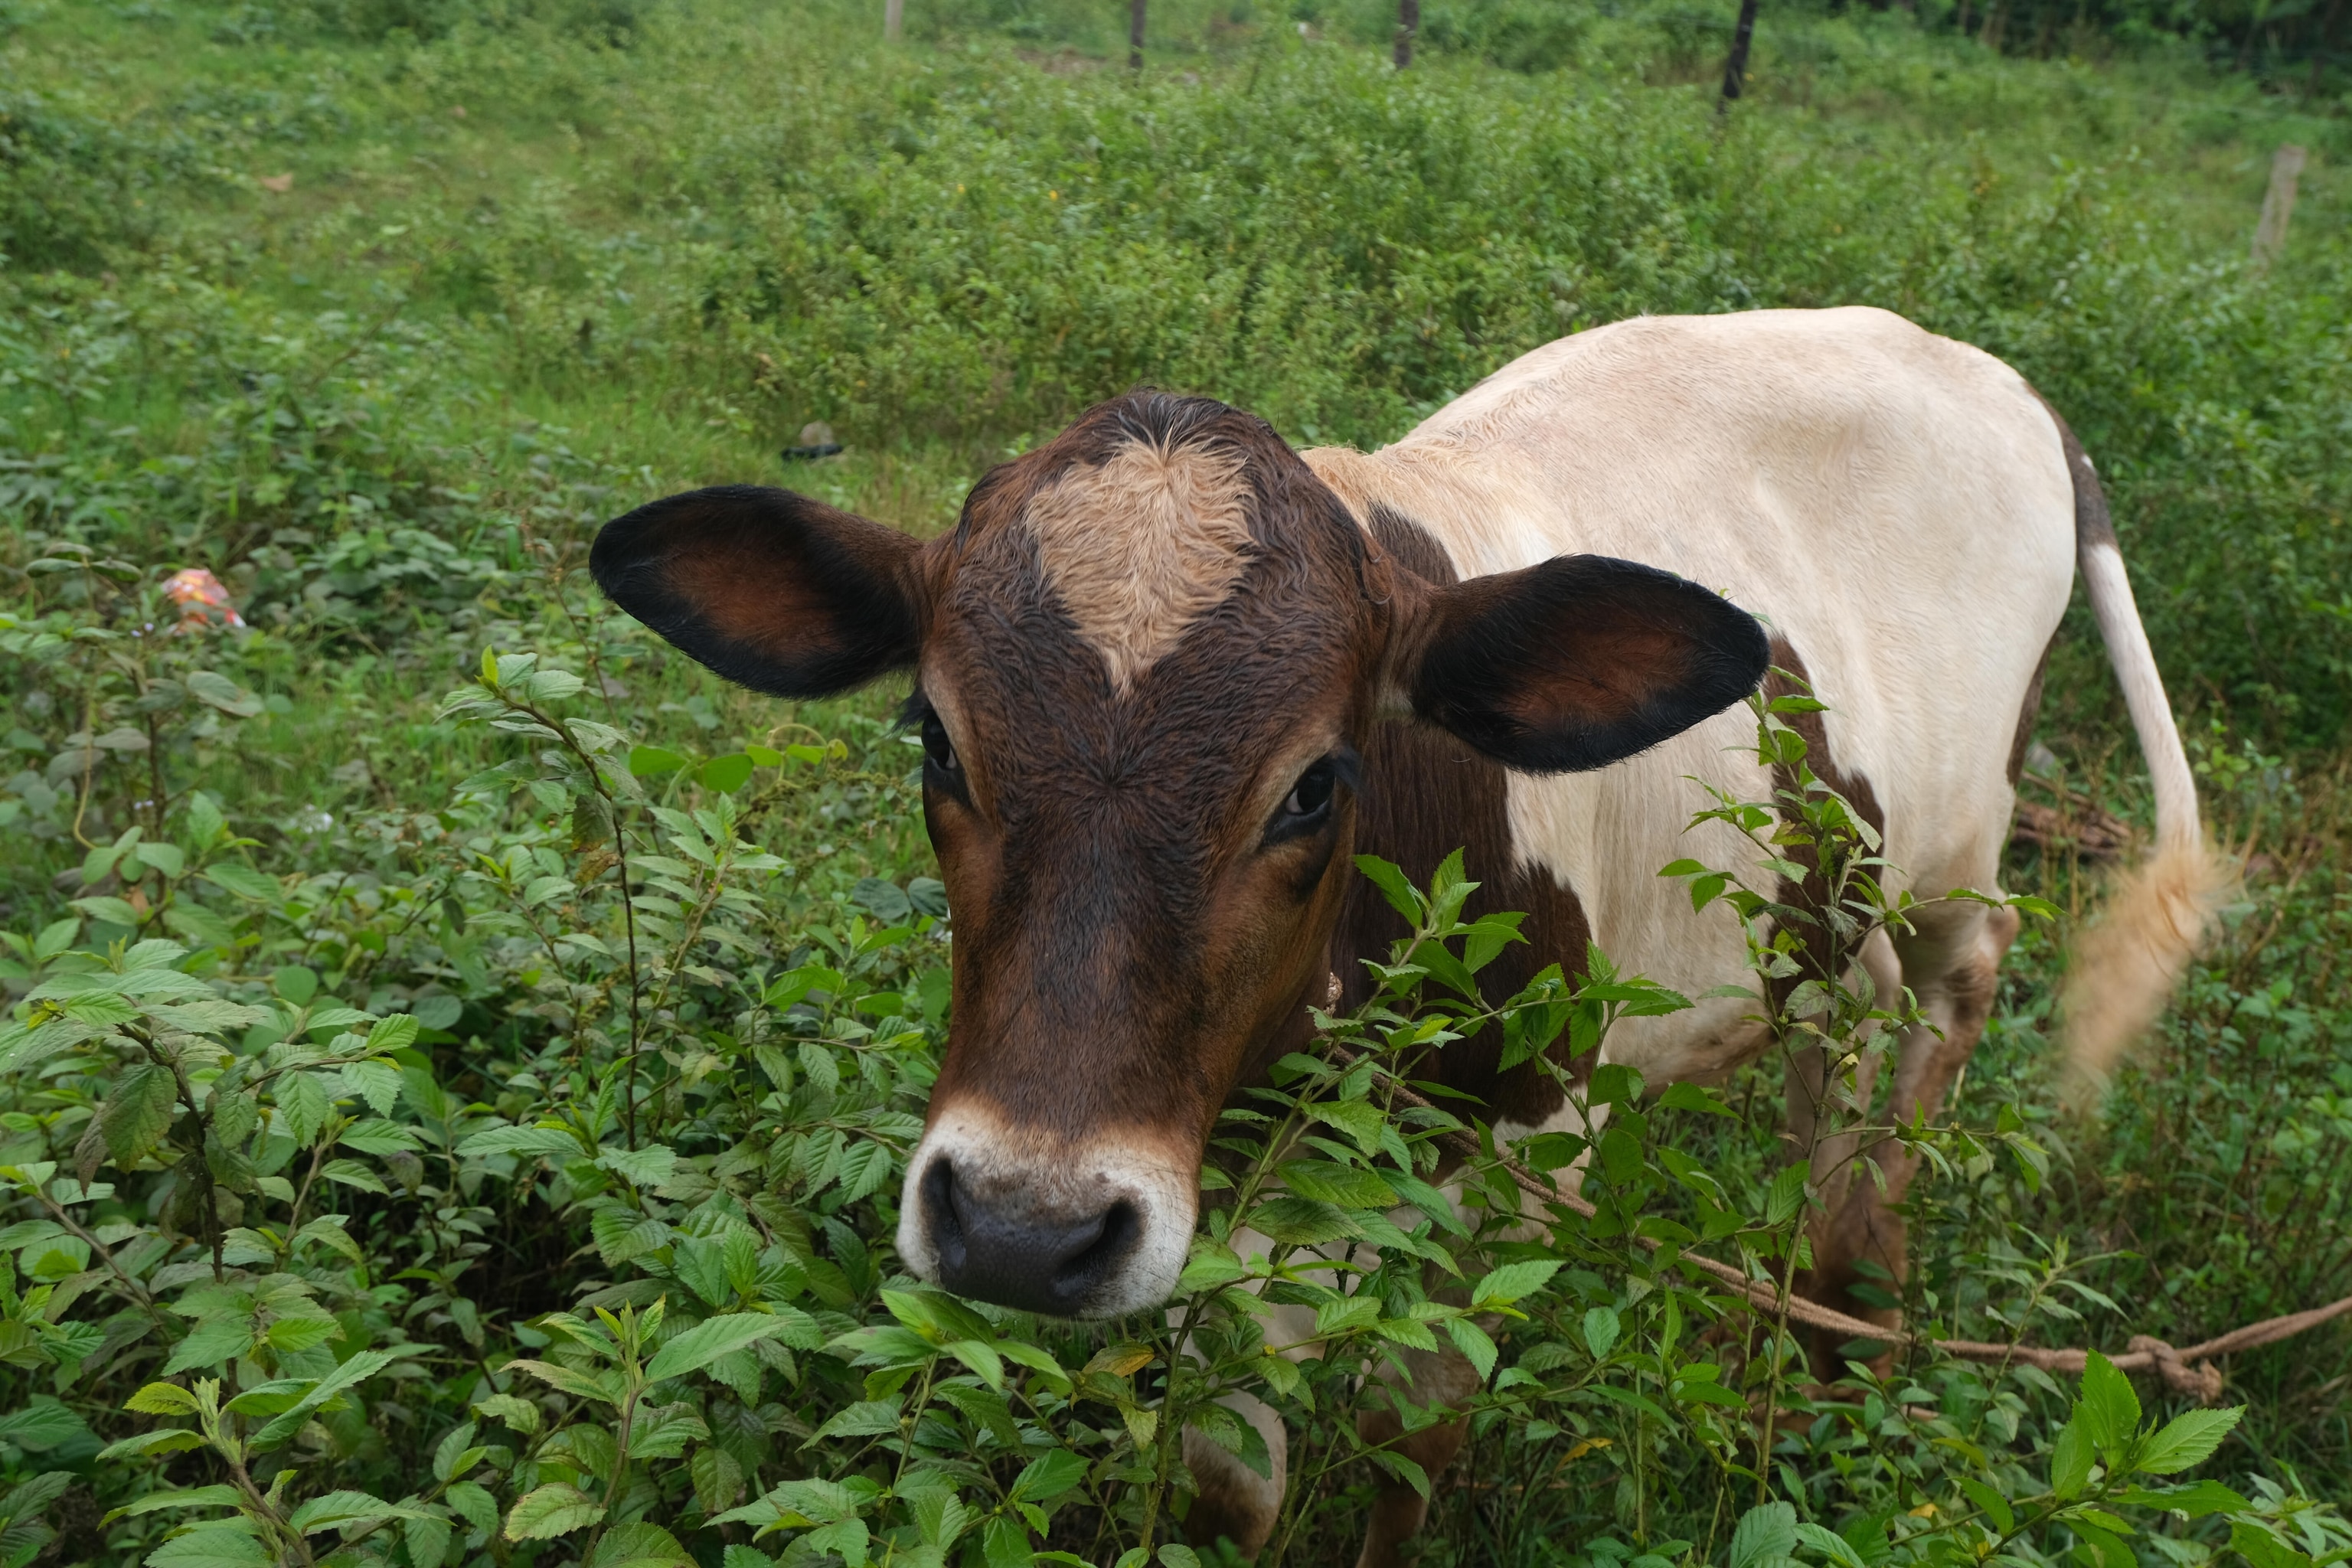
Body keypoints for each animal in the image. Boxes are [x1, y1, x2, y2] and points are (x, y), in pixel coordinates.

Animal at [591, 307, 2217, 1567]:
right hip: (1821, 934)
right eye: (936, 736)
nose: (1016, 1228)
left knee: (1911, 1094)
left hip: (1958, 879)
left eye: (1316, 781)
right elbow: (1232, 1468)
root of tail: (1984, 371)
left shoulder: (1521, 1157)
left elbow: (1411, 1428)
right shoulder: (1198, 1173)